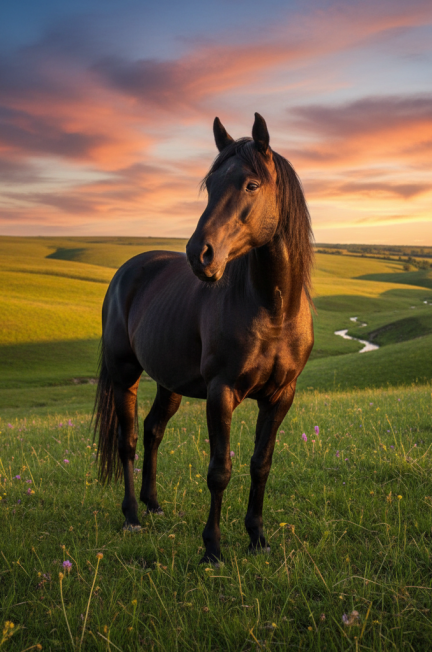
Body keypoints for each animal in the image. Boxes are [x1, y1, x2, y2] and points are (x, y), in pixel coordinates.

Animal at [93, 113, 314, 564]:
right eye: (210, 185)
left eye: (251, 184)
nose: (200, 254)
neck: (273, 309)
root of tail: (128, 270)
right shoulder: (221, 392)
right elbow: (219, 471)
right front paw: (212, 548)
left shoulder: (281, 395)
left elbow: (260, 464)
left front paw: (257, 538)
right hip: (125, 376)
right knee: (128, 442)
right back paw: (132, 516)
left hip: (169, 383)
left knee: (153, 430)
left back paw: (153, 504)